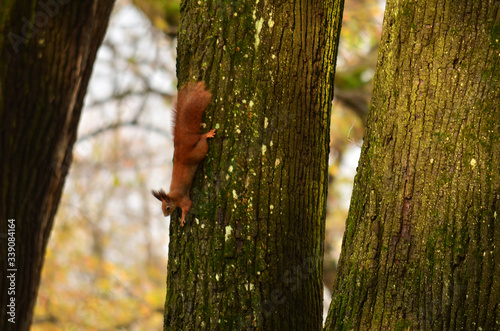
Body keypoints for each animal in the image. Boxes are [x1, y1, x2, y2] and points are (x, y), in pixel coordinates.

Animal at [151, 81, 216, 227]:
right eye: (162, 208)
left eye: (167, 207)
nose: (165, 215)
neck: (173, 196)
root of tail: (182, 151)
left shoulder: (183, 199)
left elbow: (187, 206)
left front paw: (182, 218)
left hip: (199, 152)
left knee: (202, 139)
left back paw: (207, 134)